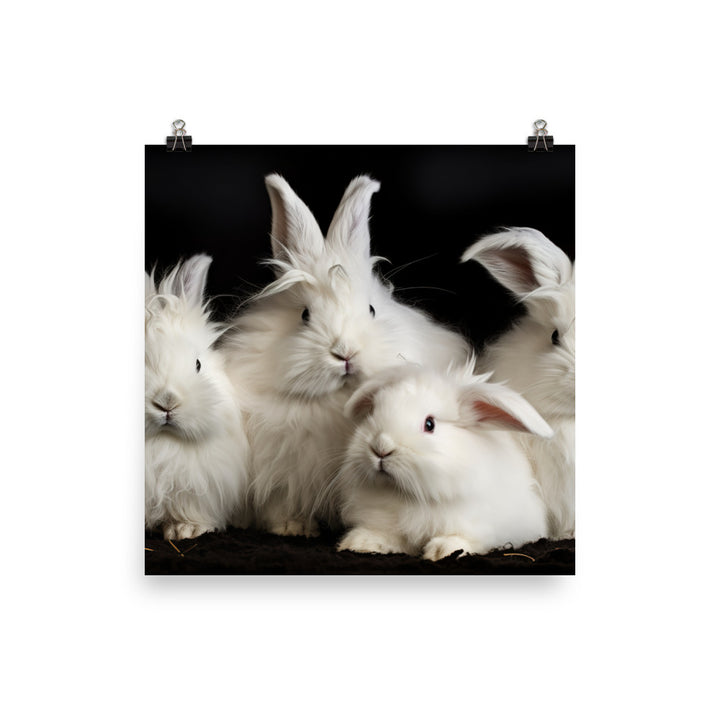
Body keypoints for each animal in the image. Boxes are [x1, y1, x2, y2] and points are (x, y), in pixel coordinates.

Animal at [223, 174, 472, 537]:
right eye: (305, 315)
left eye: (371, 309)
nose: (345, 353)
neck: (336, 401)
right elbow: (279, 502)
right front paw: (291, 526)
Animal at [335, 363, 552, 561]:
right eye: (373, 412)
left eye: (430, 424)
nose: (381, 447)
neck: (411, 495)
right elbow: (386, 535)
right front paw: (359, 543)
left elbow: (464, 538)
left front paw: (442, 550)